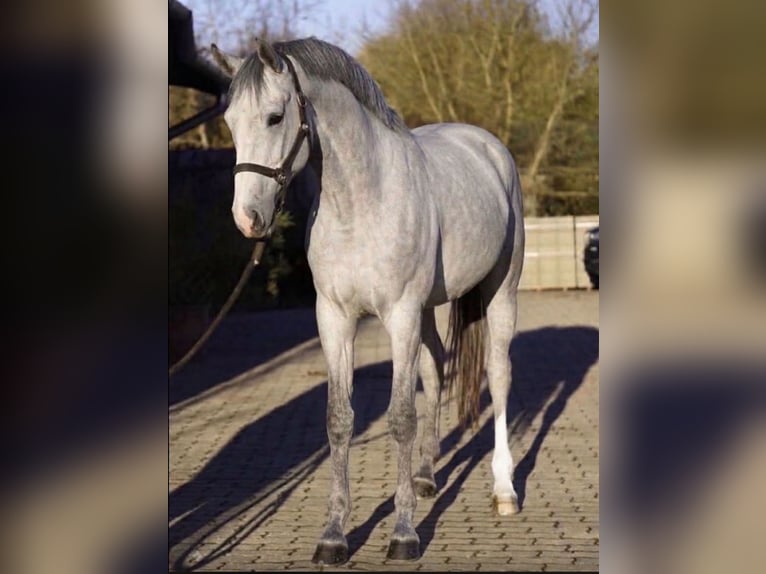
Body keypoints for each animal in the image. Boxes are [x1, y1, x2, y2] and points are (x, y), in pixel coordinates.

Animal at [210, 37, 525, 565]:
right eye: (230, 121)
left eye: (275, 117)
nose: (247, 219)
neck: (360, 204)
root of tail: (488, 146)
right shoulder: (335, 318)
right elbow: (339, 420)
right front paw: (334, 535)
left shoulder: (398, 315)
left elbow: (400, 418)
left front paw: (403, 534)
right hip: (427, 309)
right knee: (434, 371)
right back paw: (425, 478)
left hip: (500, 292)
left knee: (498, 377)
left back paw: (504, 490)